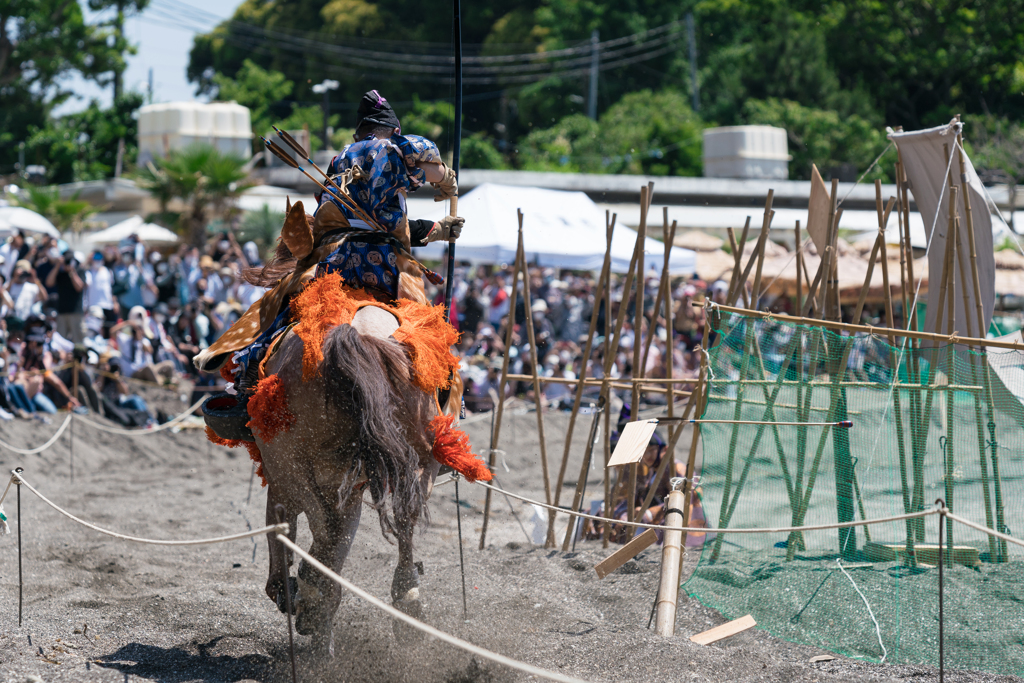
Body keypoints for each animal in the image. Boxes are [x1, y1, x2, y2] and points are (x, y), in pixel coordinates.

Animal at [256, 305, 444, 655]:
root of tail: (358, 333)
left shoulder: (285, 478)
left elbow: (290, 532)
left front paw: (294, 591)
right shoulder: (350, 487)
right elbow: (342, 534)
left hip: (291, 465)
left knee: (323, 528)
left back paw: (312, 605)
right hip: (422, 455)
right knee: (404, 518)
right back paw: (406, 602)